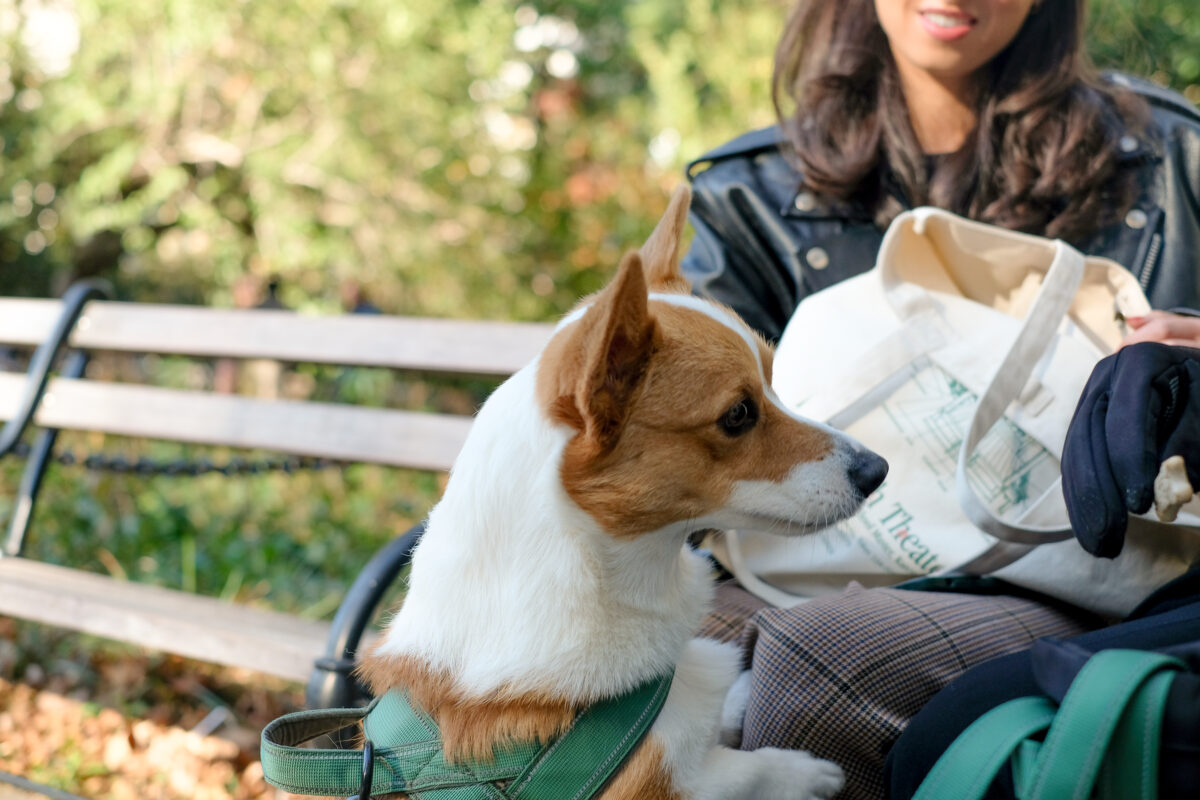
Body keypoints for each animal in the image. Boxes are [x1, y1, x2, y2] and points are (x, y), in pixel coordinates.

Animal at [360, 185, 888, 800]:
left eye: (774, 382)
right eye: (737, 414)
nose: (878, 470)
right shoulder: (667, 784)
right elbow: (748, 766)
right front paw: (805, 772)